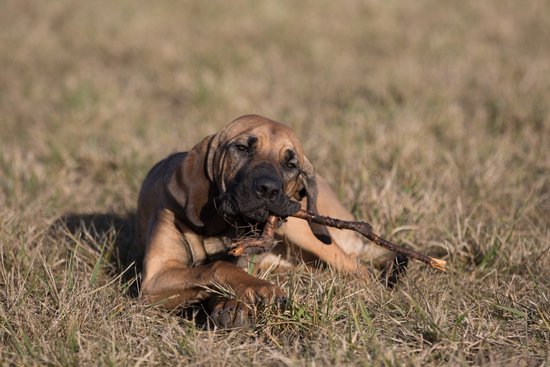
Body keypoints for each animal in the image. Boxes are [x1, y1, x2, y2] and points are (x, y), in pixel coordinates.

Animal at [136, 114, 404, 328]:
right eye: (242, 148)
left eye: (290, 164)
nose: (268, 190)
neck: (220, 229)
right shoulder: (155, 280)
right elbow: (217, 268)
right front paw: (252, 292)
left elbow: (223, 268)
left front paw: (237, 302)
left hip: (302, 230)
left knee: (359, 270)